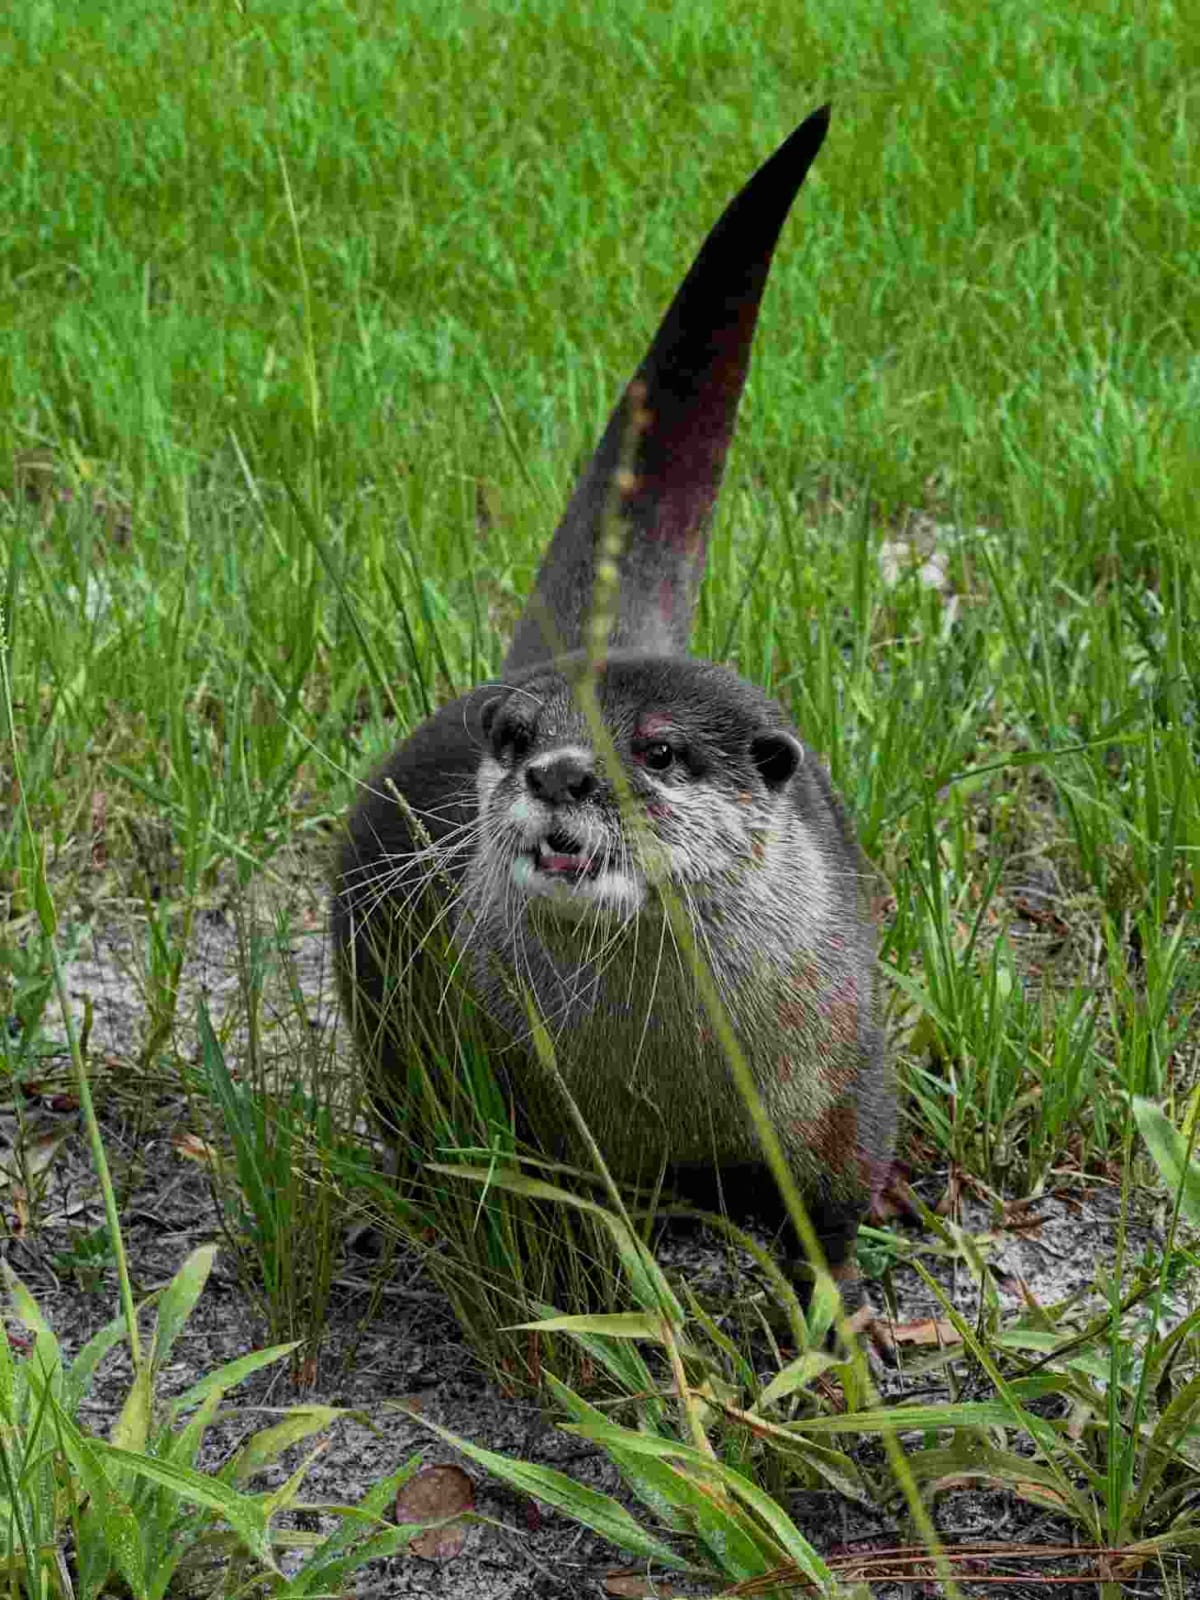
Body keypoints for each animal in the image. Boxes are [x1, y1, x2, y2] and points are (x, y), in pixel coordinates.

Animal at [335, 106, 894, 1298]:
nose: (560, 772)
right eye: (516, 738)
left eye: (661, 750)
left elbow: (831, 1223)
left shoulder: (845, 1088)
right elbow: (560, 1229)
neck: (675, 1091)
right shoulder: (524, 1108)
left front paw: (834, 1322)